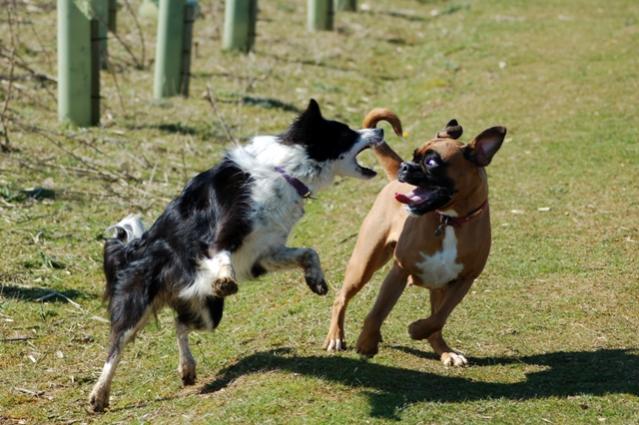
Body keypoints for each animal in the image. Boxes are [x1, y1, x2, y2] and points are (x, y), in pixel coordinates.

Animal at [89, 99, 384, 410]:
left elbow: (308, 252)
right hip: (139, 302)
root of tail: (136, 246)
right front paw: (225, 280)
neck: (284, 171)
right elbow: (222, 256)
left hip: (208, 312)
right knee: (117, 346)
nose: (380, 130)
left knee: (179, 324)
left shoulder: (264, 253)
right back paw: (100, 394)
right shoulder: (222, 236)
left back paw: (187, 367)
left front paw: (316, 280)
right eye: (347, 132)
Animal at [322, 108, 508, 364]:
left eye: (431, 162)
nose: (406, 166)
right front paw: (367, 342)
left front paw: (418, 330)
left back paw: (444, 351)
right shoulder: (399, 271)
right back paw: (335, 336)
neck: (449, 220)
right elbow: (378, 311)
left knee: (436, 323)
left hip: (436, 286)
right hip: (363, 265)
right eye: (415, 155)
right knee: (341, 298)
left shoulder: (464, 280)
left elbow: (439, 318)